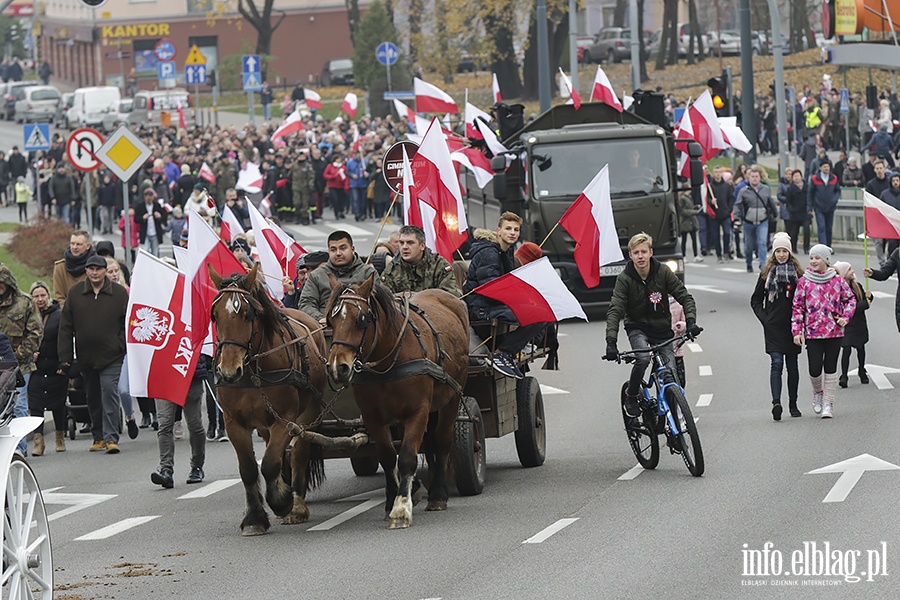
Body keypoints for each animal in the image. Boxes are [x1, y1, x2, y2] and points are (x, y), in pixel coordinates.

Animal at [208, 264, 326, 536]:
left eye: (247, 314)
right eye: (215, 315)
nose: (229, 371)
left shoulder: (285, 420)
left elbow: (270, 463)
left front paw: (281, 501)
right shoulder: (233, 423)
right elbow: (249, 469)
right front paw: (254, 518)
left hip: (308, 414)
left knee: (299, 451)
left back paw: (297, 505)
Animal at [326, 274, 468, 528]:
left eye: (362, 319)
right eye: (330, 321)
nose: (337, 367)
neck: (387, 362)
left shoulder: (418, 411)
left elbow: (407, 457)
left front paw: (401, 507)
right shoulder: (372, 416)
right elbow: (388, 457)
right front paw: (391, 500)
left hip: (453, 396)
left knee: (442, 441)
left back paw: (438, 494)